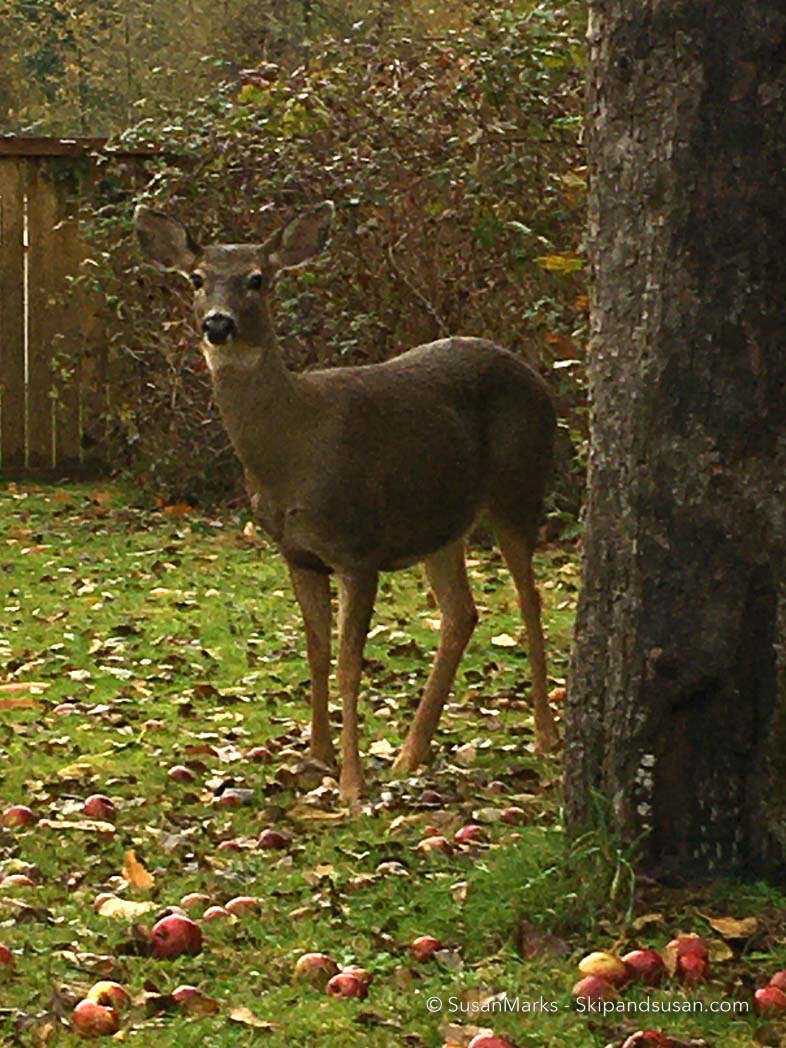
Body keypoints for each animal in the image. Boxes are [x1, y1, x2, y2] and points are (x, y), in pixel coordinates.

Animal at [135, 198, 561, 800]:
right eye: (196, 279)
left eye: (257, 279)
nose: (217, 324)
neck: (291, 453)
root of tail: (535, 375)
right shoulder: (297, 553)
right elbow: (315, 654)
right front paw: (315, 758)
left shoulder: (358, 548)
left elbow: (348, 664)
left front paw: (352, 785)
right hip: (440, 518)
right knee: (461, 612)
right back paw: (410, 753)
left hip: (519, 484)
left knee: (528, 600)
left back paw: (545, 737)